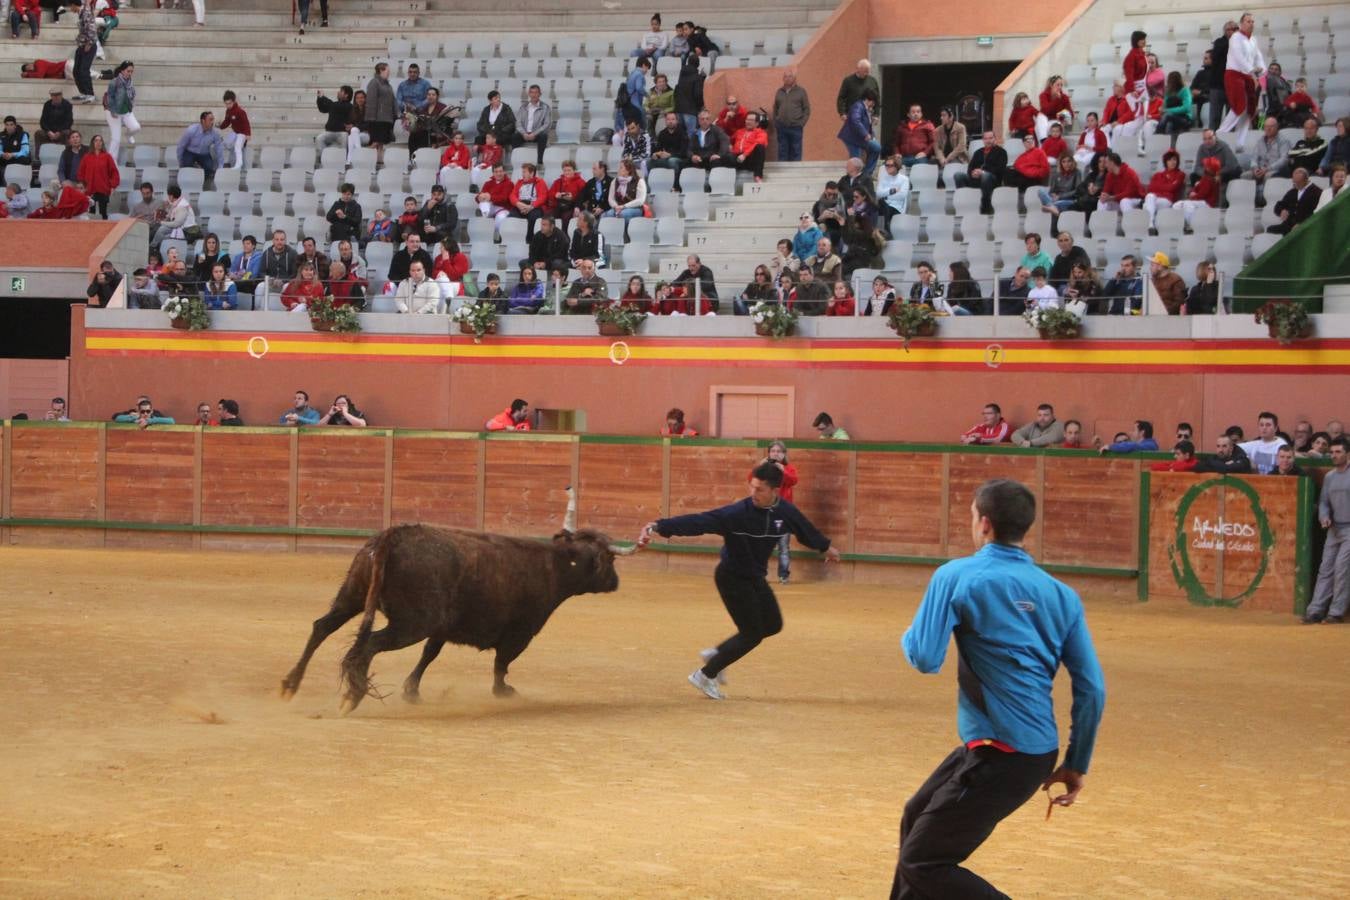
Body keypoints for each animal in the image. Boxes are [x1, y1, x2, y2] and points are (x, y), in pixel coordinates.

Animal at [278, 488, 631, 712]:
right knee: (369, 644)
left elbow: (429, 655)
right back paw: (354, 694)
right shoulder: (520, 632)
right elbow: (502, 664)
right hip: (410, 623)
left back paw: (290, 684)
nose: (616, 582)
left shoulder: (442, 628)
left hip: (353, 594)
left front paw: (412, 692)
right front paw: (504, 692)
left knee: (322, 626)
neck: (554, 564)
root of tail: (393, 536)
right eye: (609, 560)